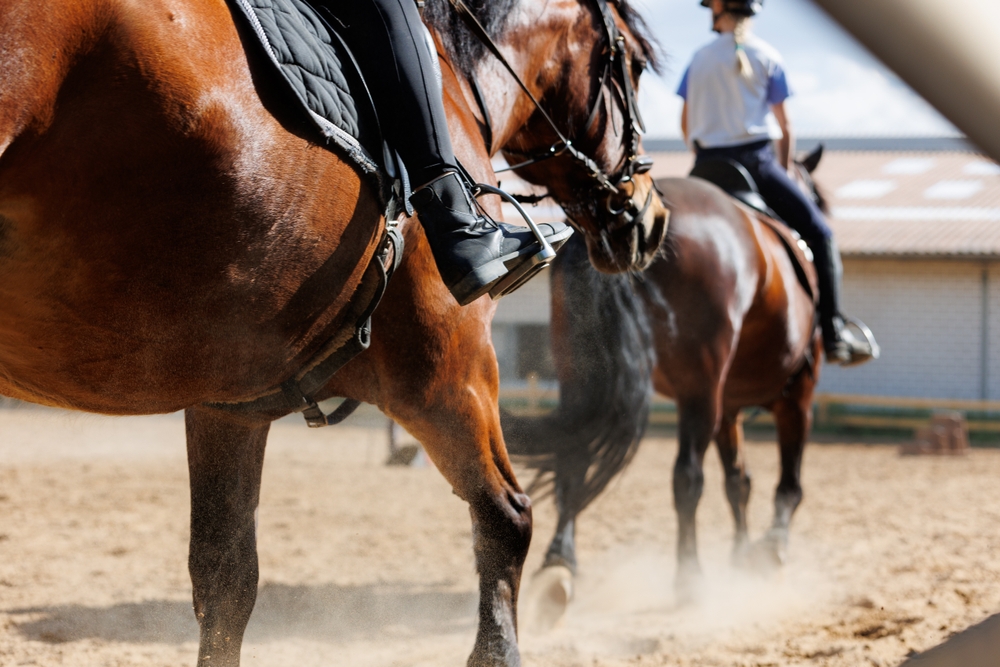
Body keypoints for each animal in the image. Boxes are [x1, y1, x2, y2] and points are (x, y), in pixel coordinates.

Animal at [0, 0, 668, 664]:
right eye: (632, 66)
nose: (651, 217)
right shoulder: (451, 368)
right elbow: (507, 520)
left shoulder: (231, 404)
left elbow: (225, 580)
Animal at [508, 149, 828, 628]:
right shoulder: (795, 396)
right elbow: (786, 484)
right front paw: (770, 549)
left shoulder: (729, 407)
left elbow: (738, 481)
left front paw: (740, 556)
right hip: (702, 389)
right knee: (687, 478)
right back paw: (690, 580)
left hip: (580, 376)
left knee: (574, 458)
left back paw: (558, 570)